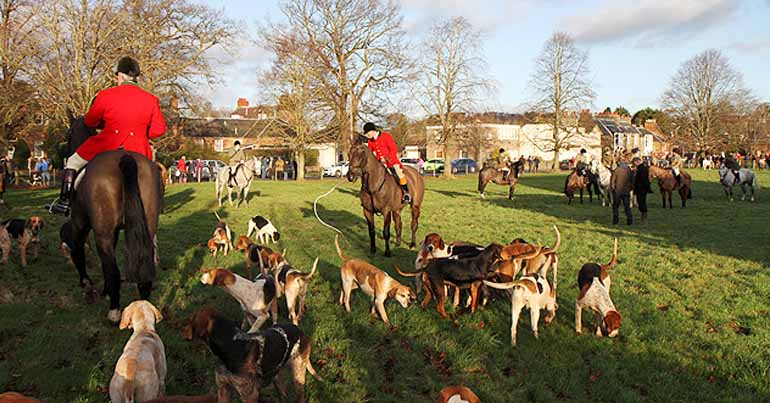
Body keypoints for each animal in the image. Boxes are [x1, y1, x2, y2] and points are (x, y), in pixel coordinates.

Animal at [62, 115, 164, 324]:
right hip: (147, 228)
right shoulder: (115, 231)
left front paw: (86, 283)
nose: (65, 153)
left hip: (102, 234)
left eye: (69, 133)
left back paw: (114, 312)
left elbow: (78, 250)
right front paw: (105, 290)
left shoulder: (80, 224)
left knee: (113, 270)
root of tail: (126, 158)